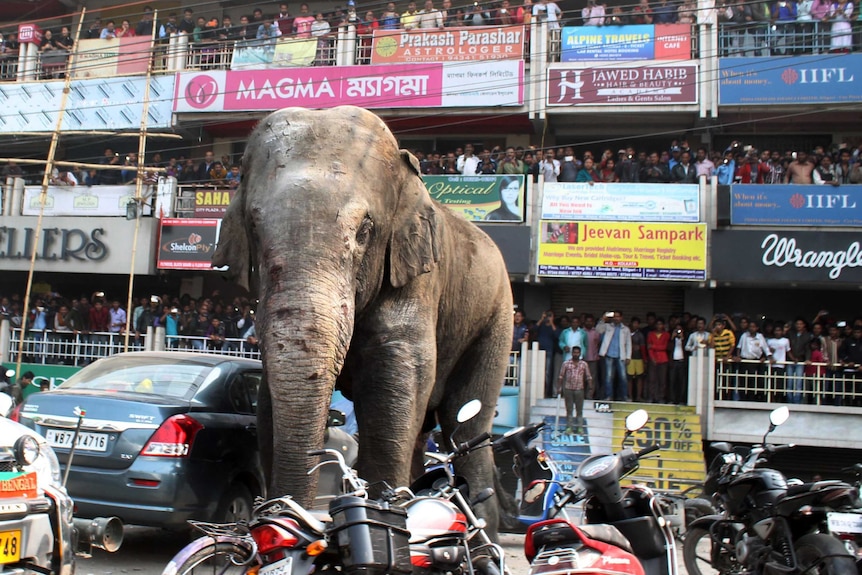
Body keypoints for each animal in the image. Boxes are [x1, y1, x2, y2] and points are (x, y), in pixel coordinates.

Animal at [213, 106, 516, 532]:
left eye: (365, 232)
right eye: (254, 228)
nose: (284, 513)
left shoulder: (417, 278)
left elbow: (394, 382)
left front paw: (385, 516)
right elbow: (269, 400)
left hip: (496, 317)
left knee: (466, 423)